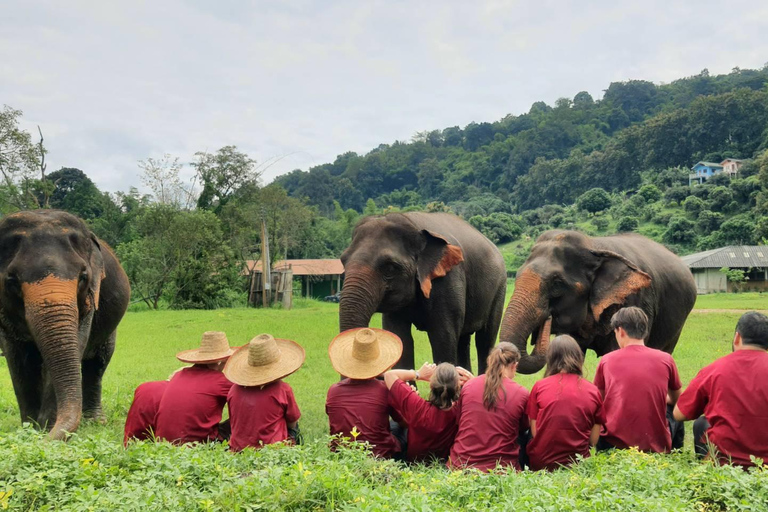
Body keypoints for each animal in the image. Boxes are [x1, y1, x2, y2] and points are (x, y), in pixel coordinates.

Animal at [0, 210, 130, 440]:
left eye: (83, 276)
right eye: (11, 280)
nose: (47, 440)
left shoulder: (89, 301)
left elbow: (76, 345)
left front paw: (44, 427)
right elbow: (17, 357)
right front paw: (30, 429)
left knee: (98, 362)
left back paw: (95, 421)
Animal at [339, 212, 507, 374]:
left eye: (390, 268)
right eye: (343, 261)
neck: (411, 222)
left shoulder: (448, 279)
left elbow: (443, 338)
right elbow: (400, 337)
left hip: (499, 288)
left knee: (485, 339)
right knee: (463, 339)